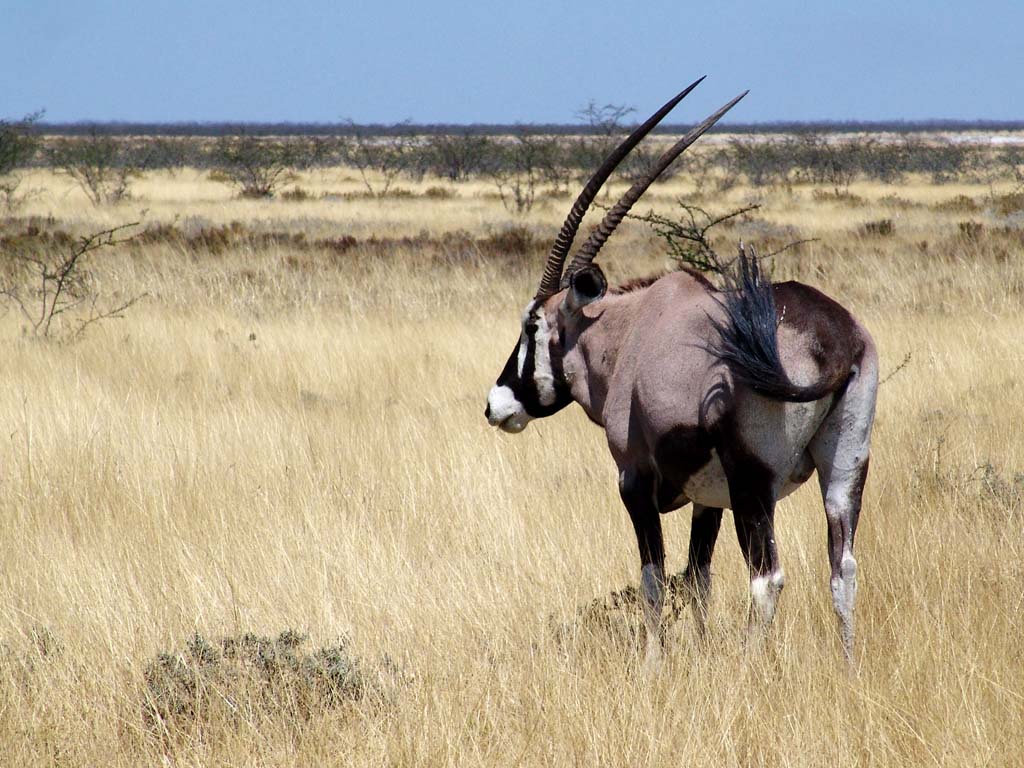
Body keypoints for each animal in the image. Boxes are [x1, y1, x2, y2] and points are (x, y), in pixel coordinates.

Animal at [483, 79, 876, 667]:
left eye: (532, 325)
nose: (496, 404)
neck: (628, 332)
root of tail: (835, 338)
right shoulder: (707, 499)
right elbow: (698, 577)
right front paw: (701, 649)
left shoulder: (635, 478)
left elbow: (654, 576)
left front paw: (653, 664)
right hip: (845, 468)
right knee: (842, 567)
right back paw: (849, 666)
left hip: (753, 483)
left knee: (767, 578)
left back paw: (748, 668)